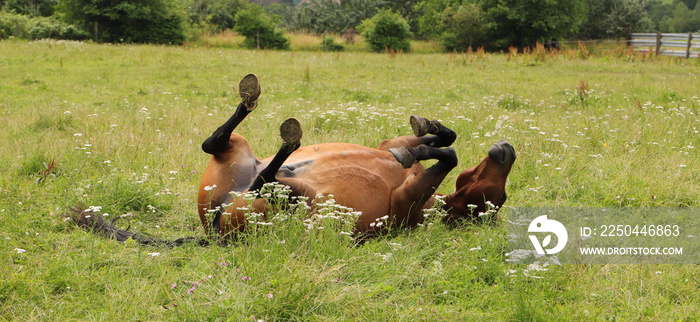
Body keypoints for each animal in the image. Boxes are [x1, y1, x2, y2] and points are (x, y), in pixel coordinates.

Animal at [197, 75, 516, 242]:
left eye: (499, 200)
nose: (508, 149)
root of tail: (214, 226)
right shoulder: (389, 144)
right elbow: (447, 141)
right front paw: (429, 128)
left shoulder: (406, 202)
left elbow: (449, 156)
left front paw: (416, 150)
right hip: (239, 149)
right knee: (215, 143)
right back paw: (252, 97)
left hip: (301, 197)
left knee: (262, 181)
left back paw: (289, 140)